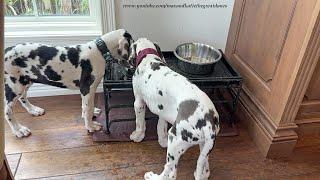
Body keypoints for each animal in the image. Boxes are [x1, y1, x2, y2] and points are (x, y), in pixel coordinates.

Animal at [127, 38, 220, 180]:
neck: (149, 58)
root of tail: (209, 122)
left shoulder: (139, 102)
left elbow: (140, 123)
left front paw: (138, 136)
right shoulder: (163, 110)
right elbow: (161, 126)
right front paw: (162, 140)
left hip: (175, 142)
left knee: (170, 173)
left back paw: (152, 176)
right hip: (205, 145)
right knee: (204, 165)